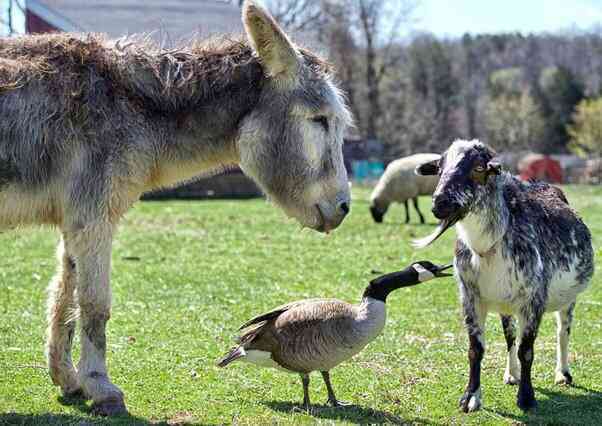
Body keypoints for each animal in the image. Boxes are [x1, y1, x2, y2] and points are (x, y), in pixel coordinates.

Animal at [412, 140, 592, 412]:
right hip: (505, 305)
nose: (440, 203)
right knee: (510, 336)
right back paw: (512, 374)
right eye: (440, 168)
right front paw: (470, 397)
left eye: (478, 168)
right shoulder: (471, 298)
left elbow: (526, 351)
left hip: (569, 298)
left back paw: (562, 373)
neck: (488, 246)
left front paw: (526, 398)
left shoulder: (533, 300)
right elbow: (476, 349)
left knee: (563, 330)